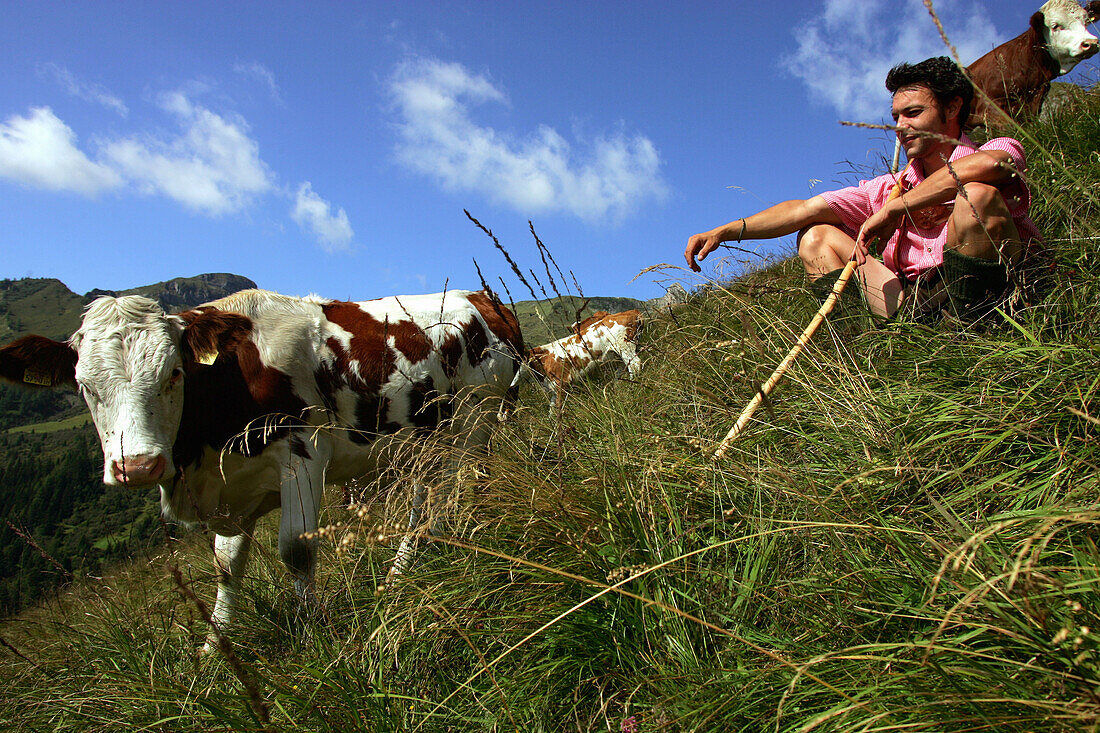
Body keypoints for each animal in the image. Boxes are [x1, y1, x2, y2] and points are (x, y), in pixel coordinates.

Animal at [0, 286, 521, 647]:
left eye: (174, 374)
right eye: (83, 386)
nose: (138, 465)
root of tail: (479, 295)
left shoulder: (302, 455)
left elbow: (296, 549)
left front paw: (311, 632)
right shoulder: (234, 490)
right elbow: (227, 566)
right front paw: (214, 649)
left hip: (476, 418)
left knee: (458, 485)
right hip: (428, 439)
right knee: (427, 496)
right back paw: (408, 567)